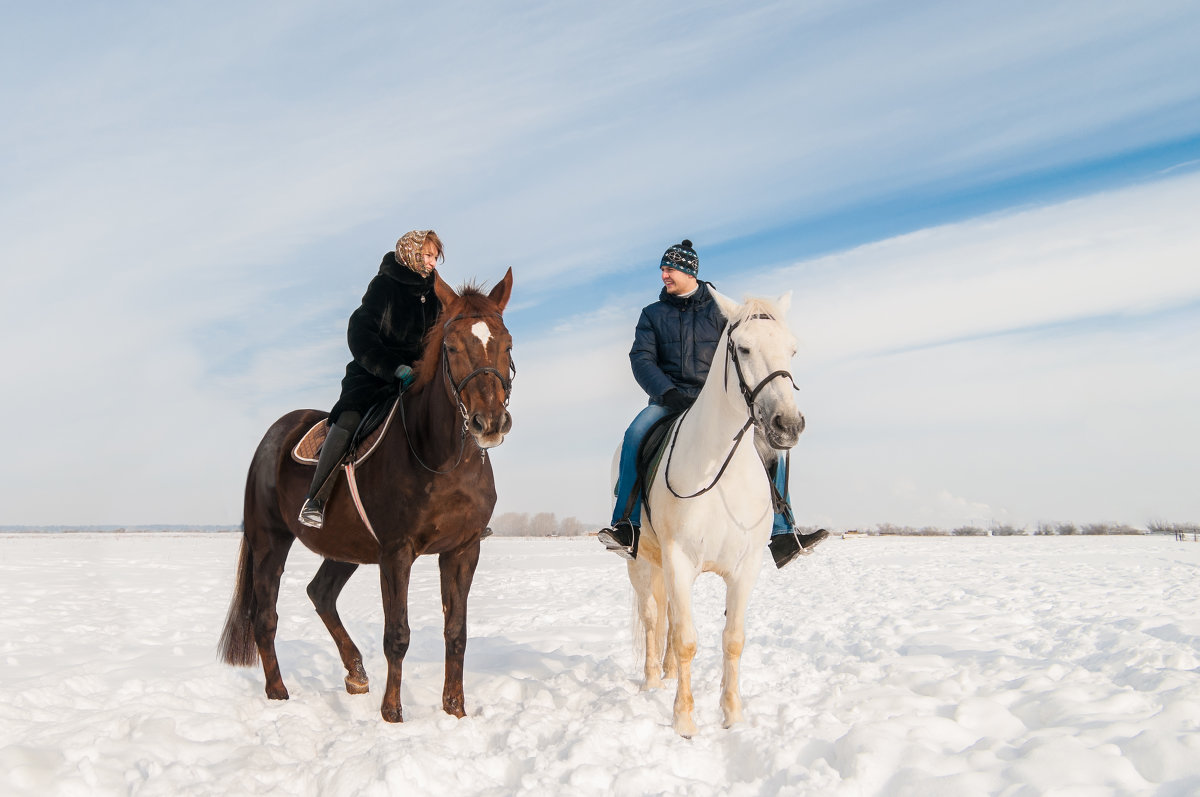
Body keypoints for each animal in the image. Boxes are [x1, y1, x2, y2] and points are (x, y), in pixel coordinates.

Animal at [218, 267, 513, 720]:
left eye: (507, 343)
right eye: (451, 346)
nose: (489, 422)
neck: (442, 458)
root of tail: (274, 434)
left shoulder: (462, 549)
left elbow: (456, 631)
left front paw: (455, 711)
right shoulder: (396, 552)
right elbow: (398, 634)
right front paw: (392, 713)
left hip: (346, 546)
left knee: (320, 594)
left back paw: (355, 671)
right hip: (270, 542)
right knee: (264, 616)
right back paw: (278, 692)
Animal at [619, 289, 806, 739]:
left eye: (791, 349)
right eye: (744, 348)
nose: (788, 425)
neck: (722, 469)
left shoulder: (745, 567)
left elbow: (732, 638)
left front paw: (732, 716)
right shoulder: (679, 560)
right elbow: (686, 638)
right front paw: (684, 720)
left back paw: (667, 674)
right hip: (642, 562)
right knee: (652, 618)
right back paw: (652, 681)